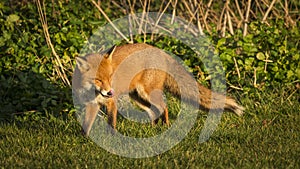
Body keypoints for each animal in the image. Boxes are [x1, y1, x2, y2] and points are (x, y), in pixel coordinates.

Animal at [72, 43, 244, 136]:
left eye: (110, 77)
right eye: (98, 80)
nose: (110, 92)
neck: (93, 92)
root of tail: (160, 50)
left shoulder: (111, 103)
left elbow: (111, 122)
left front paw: (112, 138)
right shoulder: (92, 105)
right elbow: (86, 125)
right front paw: (84, 139)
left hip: (147, 94)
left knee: (164, 107)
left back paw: (166, 127)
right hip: (138, 97)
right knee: (153, 111)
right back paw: (153, 129)